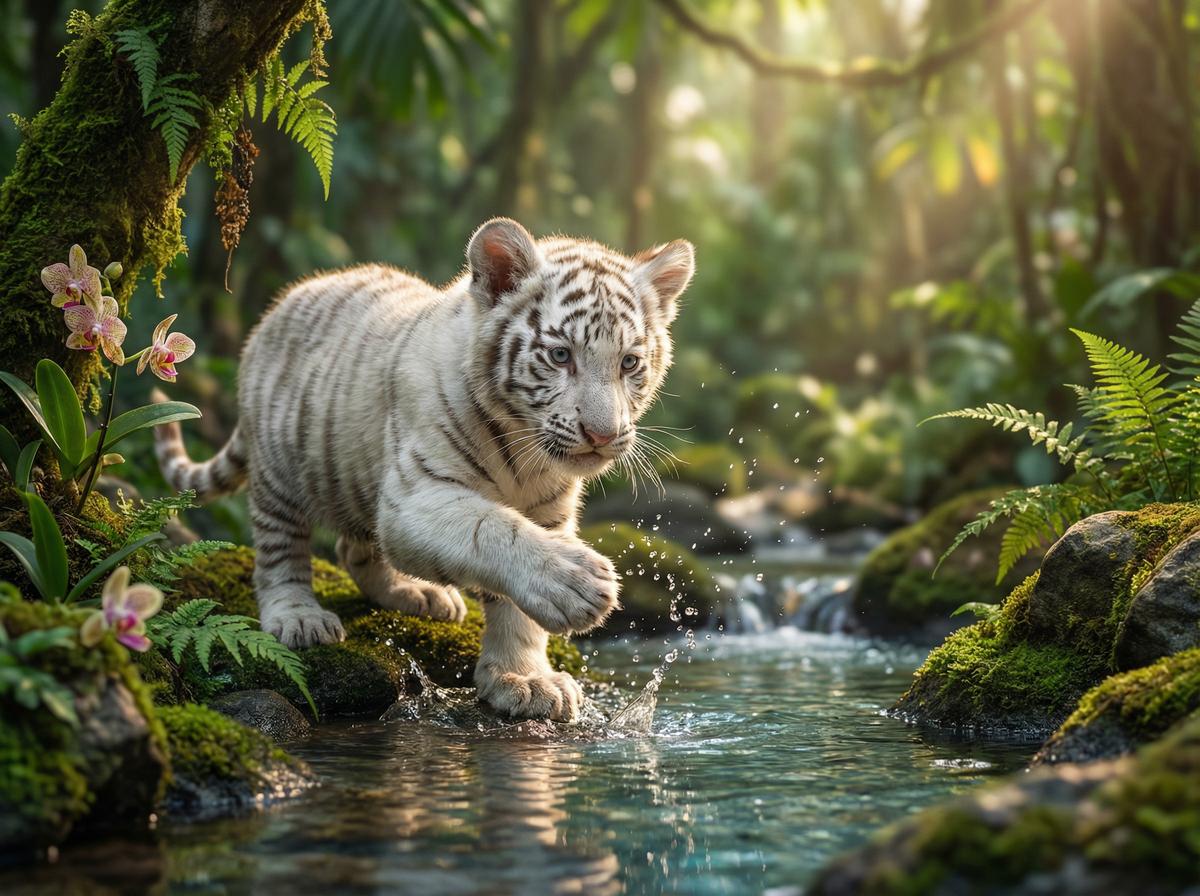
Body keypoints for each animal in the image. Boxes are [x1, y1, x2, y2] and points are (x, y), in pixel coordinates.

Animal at [153, 217, 694, 721]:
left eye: (629, 363)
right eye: (561, 356)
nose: (603, 435)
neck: (524, 456)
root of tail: (277, 308)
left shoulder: (547, 512)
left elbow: (518, 610)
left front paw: (523, 680)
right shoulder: (416, 497)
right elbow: (493, 529)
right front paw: (573, 582)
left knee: (354, 548)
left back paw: (417, 593)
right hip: (280, 470)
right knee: (279, 549)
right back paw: (299, 617)